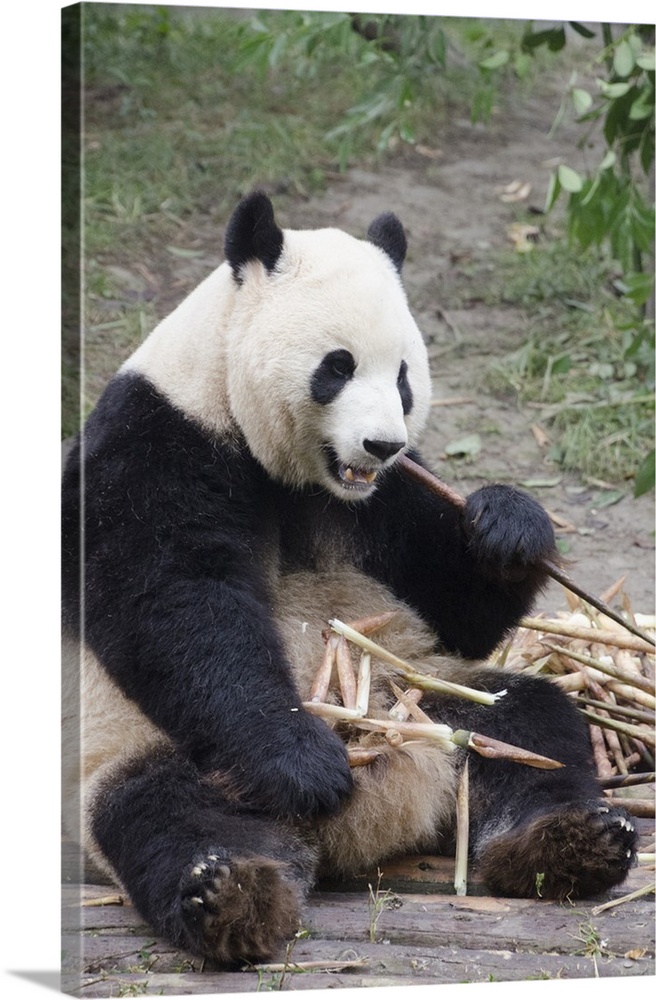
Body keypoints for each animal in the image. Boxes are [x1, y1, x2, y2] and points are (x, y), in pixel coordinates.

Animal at [61, 193, 636, 968]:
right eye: (337, 366)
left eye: (403, 376)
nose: (381, 443)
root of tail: (366, 827)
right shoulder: (155, 442)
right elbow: (176, 602)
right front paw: (304, 764)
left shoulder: (390, 496)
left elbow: (453, 604)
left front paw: (508, 526)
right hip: (144, 749)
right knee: (164, 811)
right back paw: (232, 891)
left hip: (425, 695)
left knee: (530, 727)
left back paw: (568, 841)